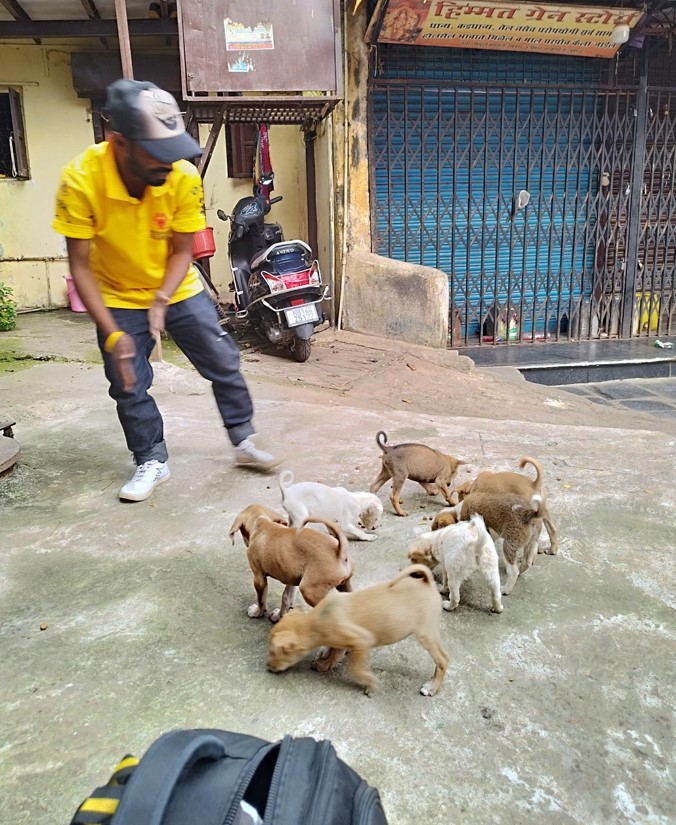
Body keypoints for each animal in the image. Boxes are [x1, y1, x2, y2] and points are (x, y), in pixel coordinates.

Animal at [266, 560, 448, 696]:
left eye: (274, 652)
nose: (268, 666)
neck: (316, 620)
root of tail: (427, 583)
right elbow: (335, 651)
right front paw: (326, 659)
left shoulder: (361, 640)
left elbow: (354, 667)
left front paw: (369, 683)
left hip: (426, 633)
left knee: (443, 659)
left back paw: (432, 687)